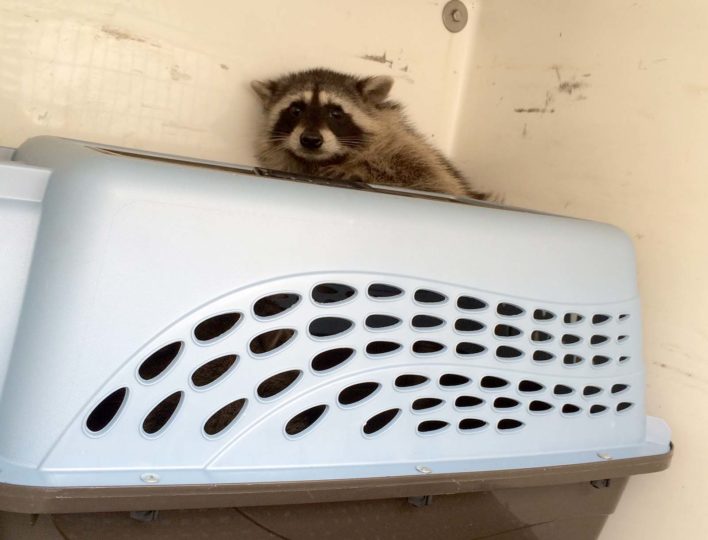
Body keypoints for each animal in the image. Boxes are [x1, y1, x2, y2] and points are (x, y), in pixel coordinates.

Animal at [251, 68, 488, 199]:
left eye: (335, 113)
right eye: (296, 110)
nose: (310, 140)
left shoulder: (409, 149)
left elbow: (431, 181)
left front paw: (358, 169)